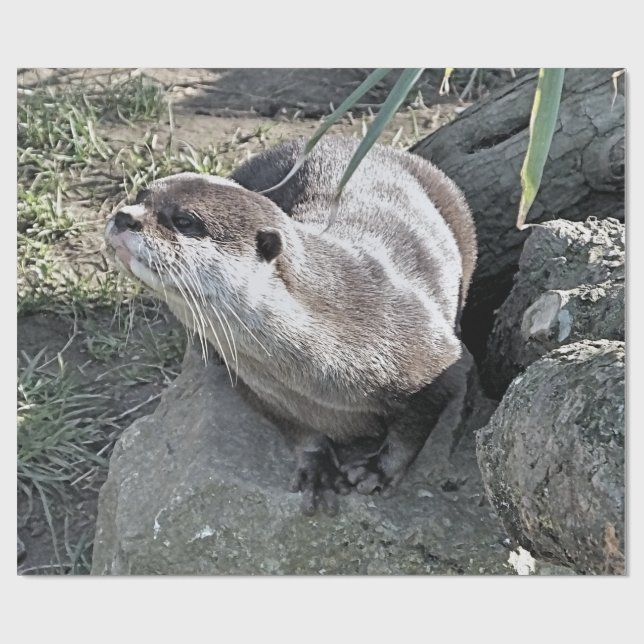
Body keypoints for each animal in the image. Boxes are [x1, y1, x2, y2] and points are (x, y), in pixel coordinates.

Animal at [104, 136, 477, 515]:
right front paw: (317, 468)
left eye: (183, 220)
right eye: (140, 195)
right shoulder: (259, 388)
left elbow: (417, 424)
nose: (124, 216)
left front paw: (378, 469)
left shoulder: (436, 357)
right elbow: (295, 428)